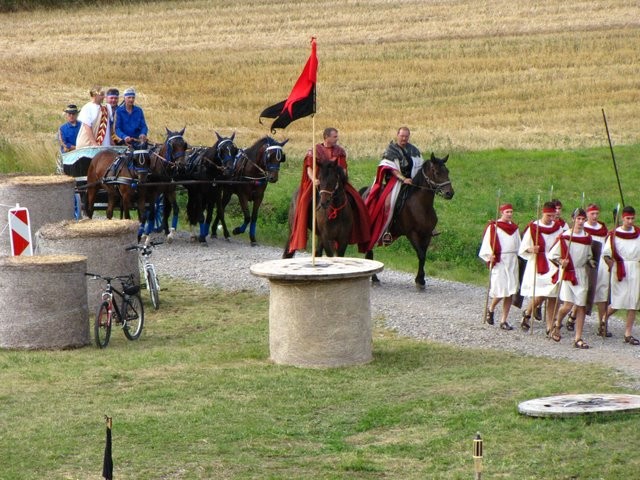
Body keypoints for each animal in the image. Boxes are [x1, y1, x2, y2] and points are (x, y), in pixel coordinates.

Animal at [360, 154, 456, 288]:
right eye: (437, 172)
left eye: (447, 171)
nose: (449, 193)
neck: (421, 206)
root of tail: (366, 192)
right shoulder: (412, 234)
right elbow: (421, 254)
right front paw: (420, 280)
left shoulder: (427, 235)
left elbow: (423, 256)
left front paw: (420, 279)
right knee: (369, 252)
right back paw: (374, 278)